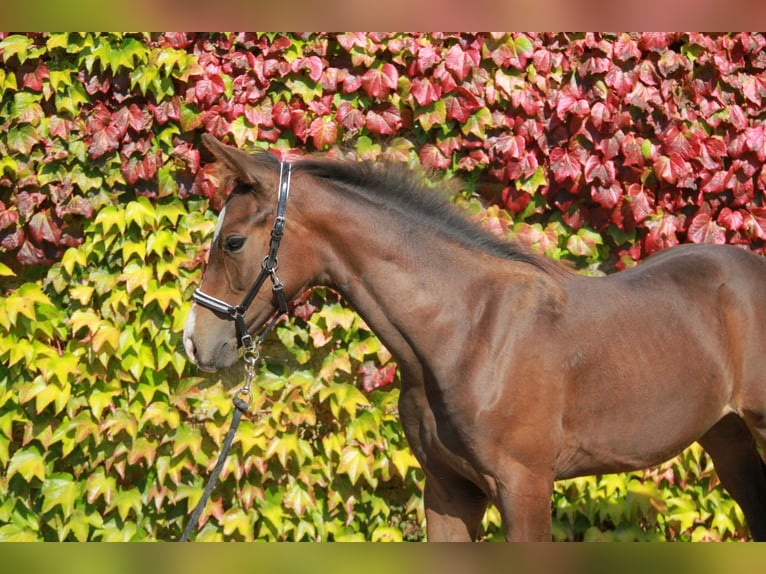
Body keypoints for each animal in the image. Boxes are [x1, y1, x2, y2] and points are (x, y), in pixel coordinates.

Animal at [184, 136, 766, 544]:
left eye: (232, 241)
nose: (194, 342)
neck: (466, 331)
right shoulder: (448, 490)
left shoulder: (524, 488)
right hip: (727, 436)